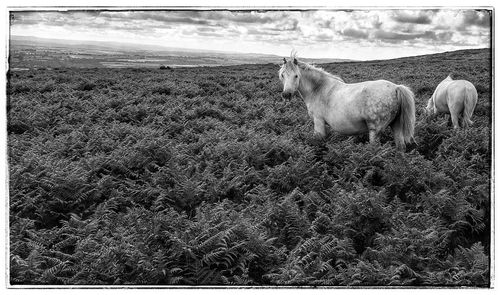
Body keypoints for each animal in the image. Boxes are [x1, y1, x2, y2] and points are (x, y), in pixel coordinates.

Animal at [280, 52, 416, 150]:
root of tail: (396, 87)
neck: (318, 89)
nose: (286, 94)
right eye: (282, 75)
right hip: (396, 126)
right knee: (401, 147)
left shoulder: (318, 122)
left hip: (375, 131)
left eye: (296, 76)